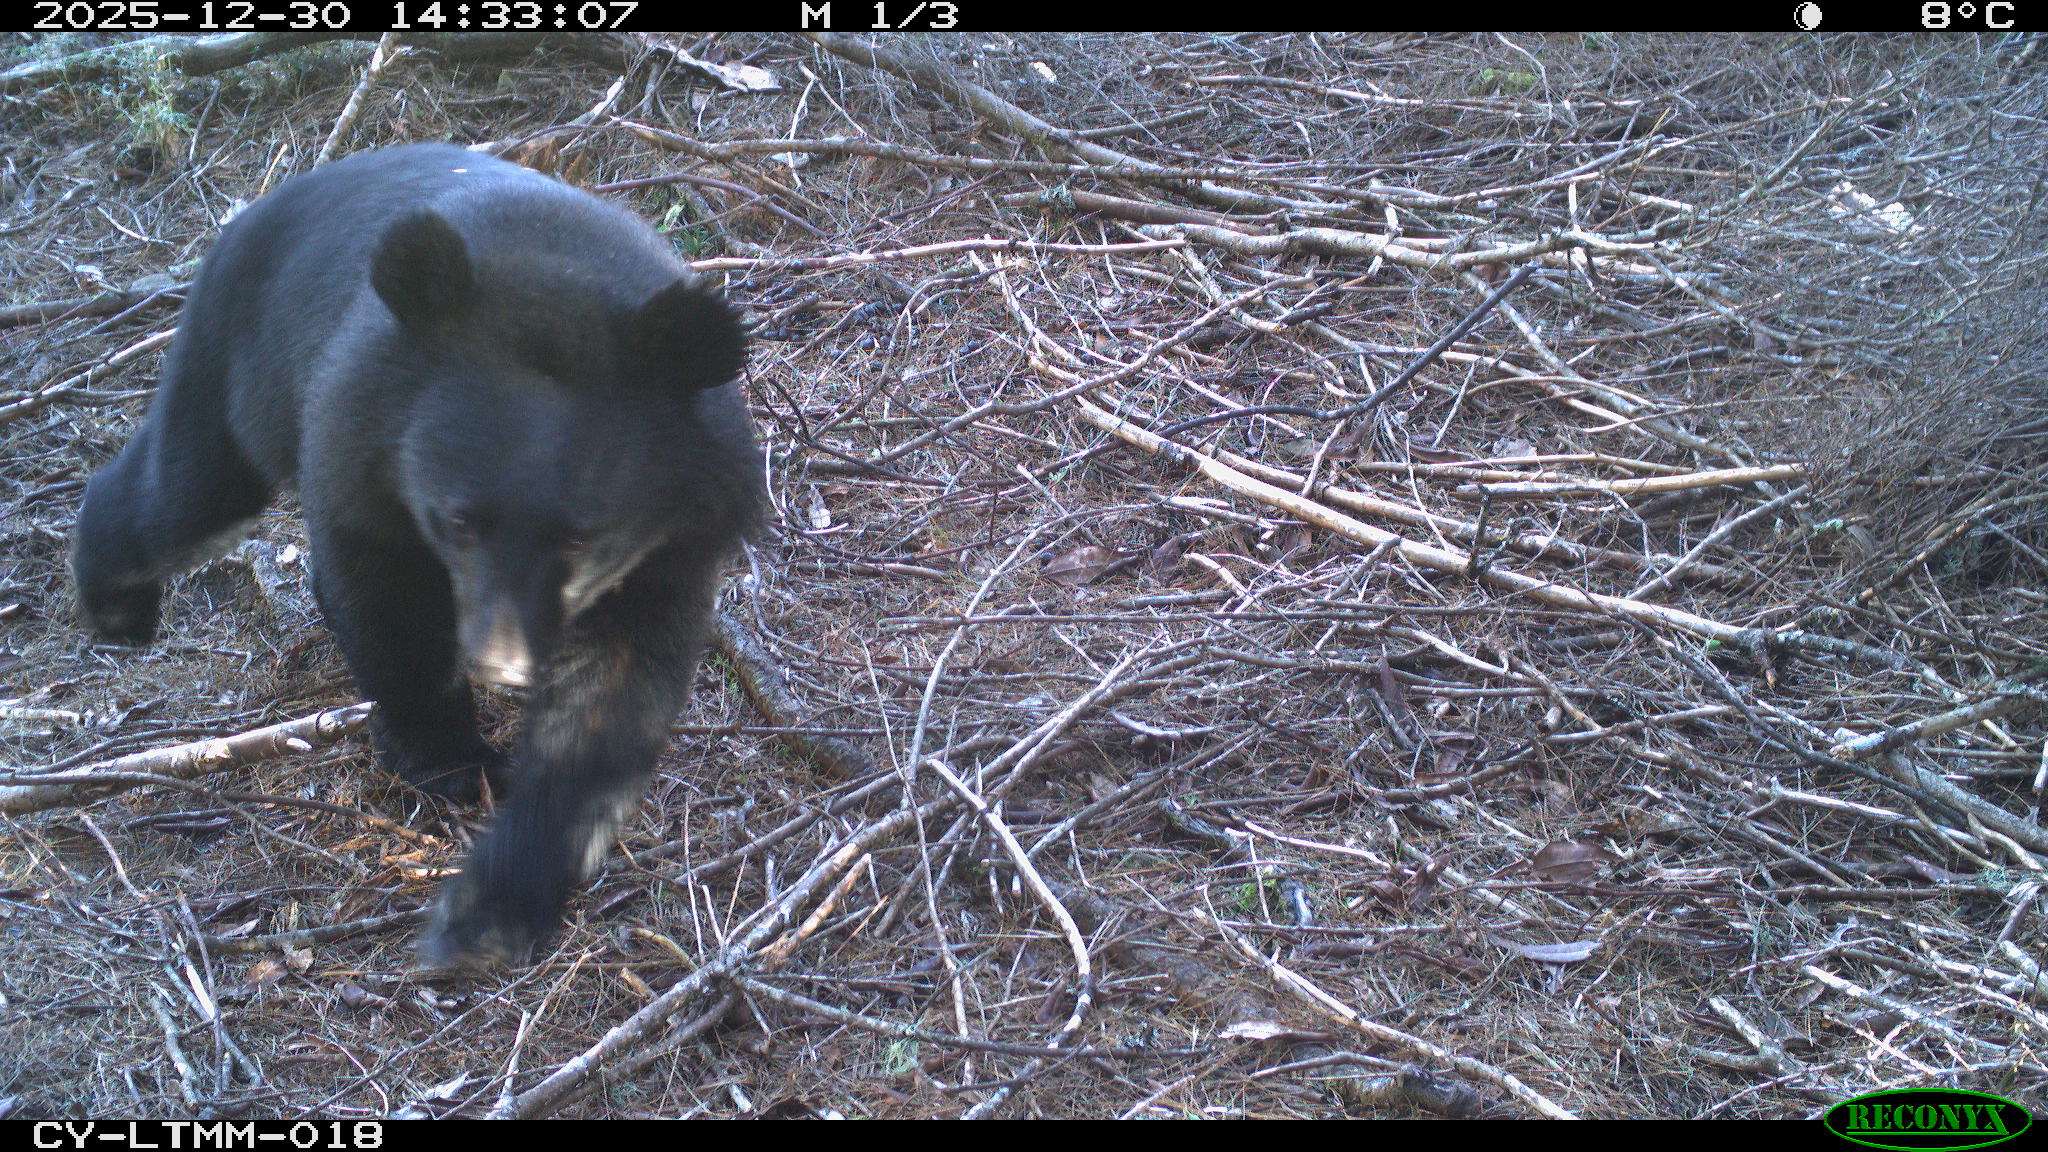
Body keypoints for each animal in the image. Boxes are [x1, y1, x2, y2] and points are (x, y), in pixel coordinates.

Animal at [69, 143, 764, 969]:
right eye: (458, 521)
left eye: (581, 536)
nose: (502, 664)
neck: (560, 281)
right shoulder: (360, 438)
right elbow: (390, 606)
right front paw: (450, 764)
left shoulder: (674, 536)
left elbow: (613, 700)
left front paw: (491, 909)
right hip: (242, 354)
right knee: (188, 488)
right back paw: (116, 604)